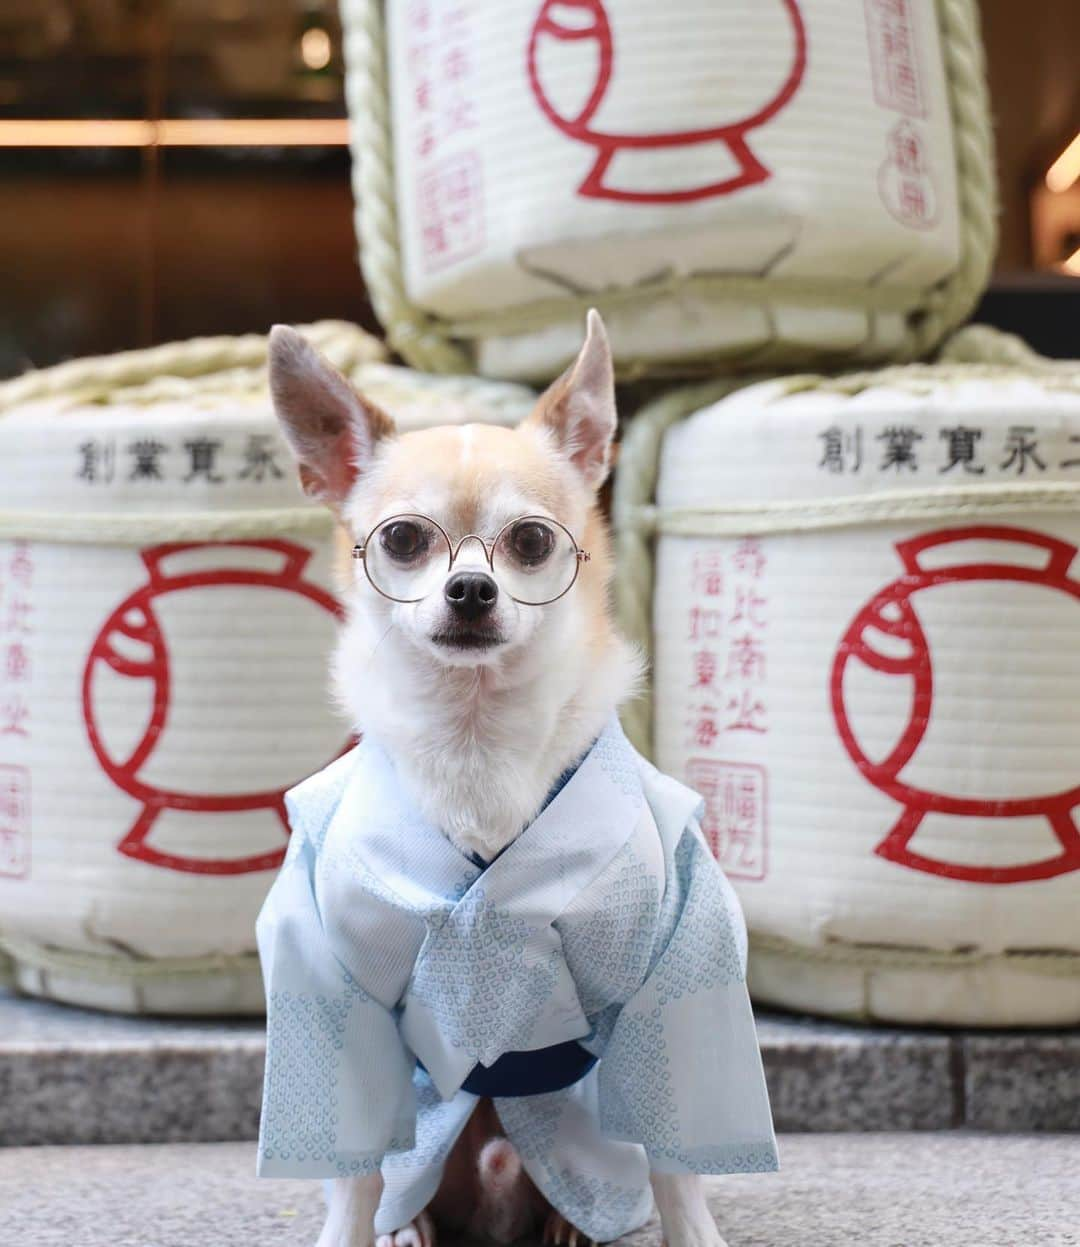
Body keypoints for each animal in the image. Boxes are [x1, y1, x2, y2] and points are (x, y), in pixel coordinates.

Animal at [269, 314, 738, 1247]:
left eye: (530, 541)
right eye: (404, 540)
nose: (471, 587)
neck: (476, 738)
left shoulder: (676, 957)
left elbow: (677, 1148)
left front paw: (693, 1229)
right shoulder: (329, 973)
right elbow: (351, 1164)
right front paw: (350, 1228)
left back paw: (573, 1224)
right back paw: (407, 1225)